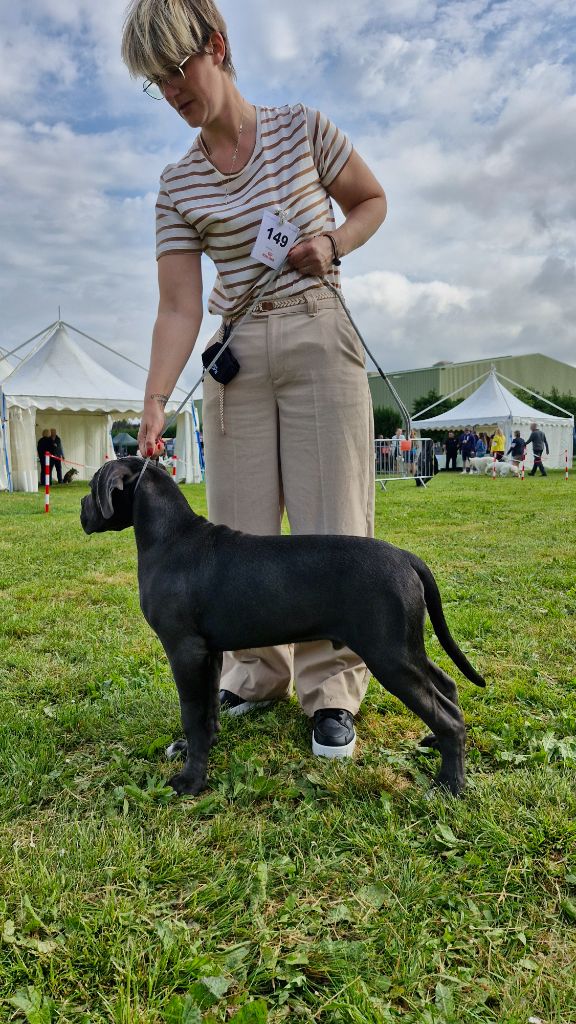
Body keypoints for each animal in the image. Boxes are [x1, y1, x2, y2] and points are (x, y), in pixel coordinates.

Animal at [79, 456, 483, 798]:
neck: (172, 537)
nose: (82, 507)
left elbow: (191, 714)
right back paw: (438, 747)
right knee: (447, 687)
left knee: (448, 717)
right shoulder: (208, 652)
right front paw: (200, 749)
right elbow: (207, 711)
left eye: (94, 483)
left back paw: (450, 785)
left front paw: (191, 780)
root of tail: (407, 558)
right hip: (404, 646)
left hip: (389, 656)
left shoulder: (184, 650)